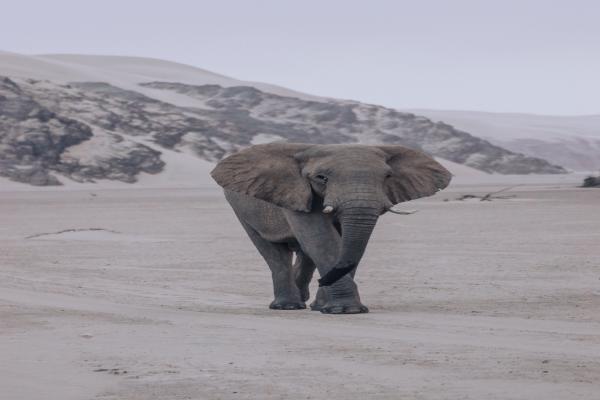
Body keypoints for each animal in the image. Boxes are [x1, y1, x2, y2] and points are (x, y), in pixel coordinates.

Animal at [211, 142, 450, 314]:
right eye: (321, 178)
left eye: (388, 177)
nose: (322, 280)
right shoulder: (296, 191)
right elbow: (321, 238)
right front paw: (345, 310)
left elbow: (343, 243)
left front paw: (328, 308)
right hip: (241, 208)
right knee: (274, 253)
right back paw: (288, 306)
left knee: (304, 254)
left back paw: (306, 301)